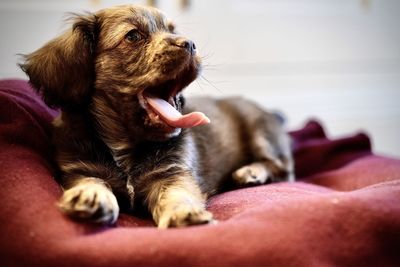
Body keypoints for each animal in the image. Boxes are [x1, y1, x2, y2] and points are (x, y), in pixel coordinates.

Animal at [20, 4, 296, 229]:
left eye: (173, 30)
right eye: (133, 36)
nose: (191, 44)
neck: (125, 149)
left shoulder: (173, 173)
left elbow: (176, 194)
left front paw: (184, 212)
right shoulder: (77, 169)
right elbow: (90, 180)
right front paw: (90, 195)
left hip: (261, 131)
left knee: (282, 168)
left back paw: (251, 171)